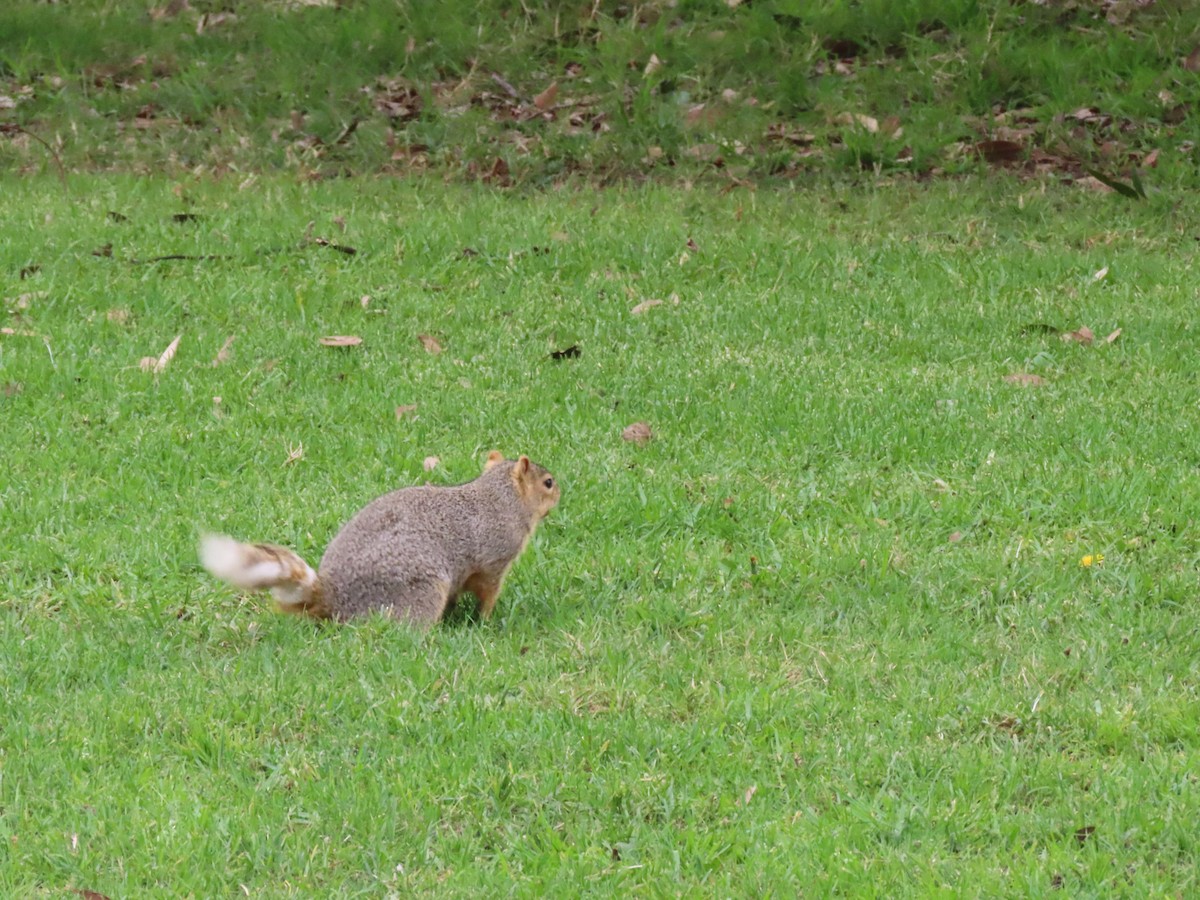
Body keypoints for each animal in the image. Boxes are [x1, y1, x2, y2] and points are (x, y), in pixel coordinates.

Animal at [200, 451, 560, 625]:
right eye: (548, 483)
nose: (560, 494)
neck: (501, 498)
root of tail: (331, 596)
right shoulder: (494, 560)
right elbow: (487, 593)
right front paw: (485, 621)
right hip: (418, 588)